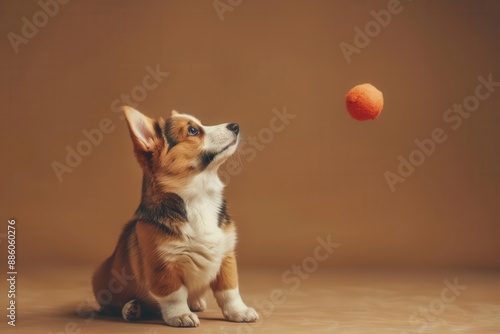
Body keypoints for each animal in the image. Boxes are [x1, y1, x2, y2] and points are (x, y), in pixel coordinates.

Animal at [91, 107, 260, 328]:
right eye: (193, 130)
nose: (235, 126)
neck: (199, 197)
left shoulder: (226, 255)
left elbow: (229, 291)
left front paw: (239, 311)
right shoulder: (163, 264)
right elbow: (175, 295)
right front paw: (180, 315)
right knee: (111, 306)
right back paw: (131, 309)